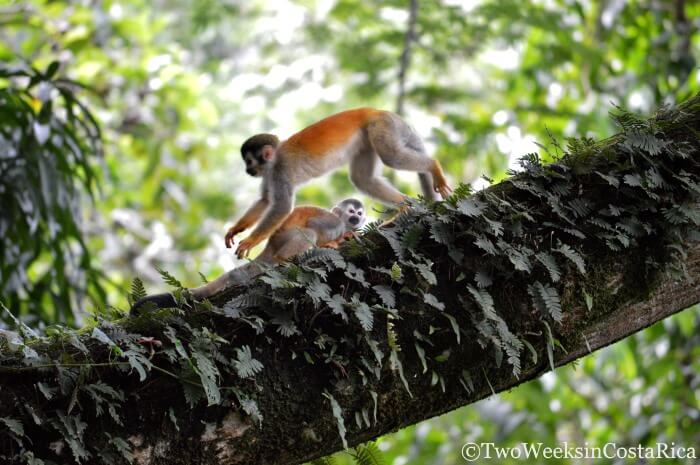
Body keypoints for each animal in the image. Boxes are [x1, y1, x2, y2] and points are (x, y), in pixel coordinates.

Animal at [129, 198, 366, 314]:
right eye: (351, 212)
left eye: (359, 213)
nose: (356, 217)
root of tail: (269, 246)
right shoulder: (334, 223)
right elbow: (316, 226)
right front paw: (335, 241)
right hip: (283, 240)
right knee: (307, 232)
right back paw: (287, 259)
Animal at [227, 107, 452, 260]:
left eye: (249, 161)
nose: (248, 170)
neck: (273, 161)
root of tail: (378, 111)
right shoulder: (269, 174)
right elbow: (265, 201)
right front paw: (236, 229)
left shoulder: (280, 171)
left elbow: (281, 207)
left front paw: (250, 241)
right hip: (369, 137)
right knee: (363, 179)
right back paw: (405, 206)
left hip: (382, 127)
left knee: (392, 157)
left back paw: (433, 166)